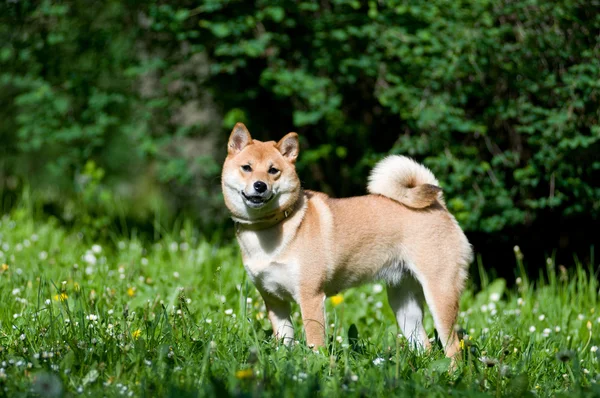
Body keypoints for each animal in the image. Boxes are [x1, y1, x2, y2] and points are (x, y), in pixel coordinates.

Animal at [221, 123, 474, 360]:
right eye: (246, 168)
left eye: (273, 170)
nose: (260, 185)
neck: (269, 229)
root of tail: (440, 205)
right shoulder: (274, 301)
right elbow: (285, 340)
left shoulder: (310, 297)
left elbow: (315, 342)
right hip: (404, 304)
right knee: (424, 344)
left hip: (440, 293)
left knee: (453, 348)